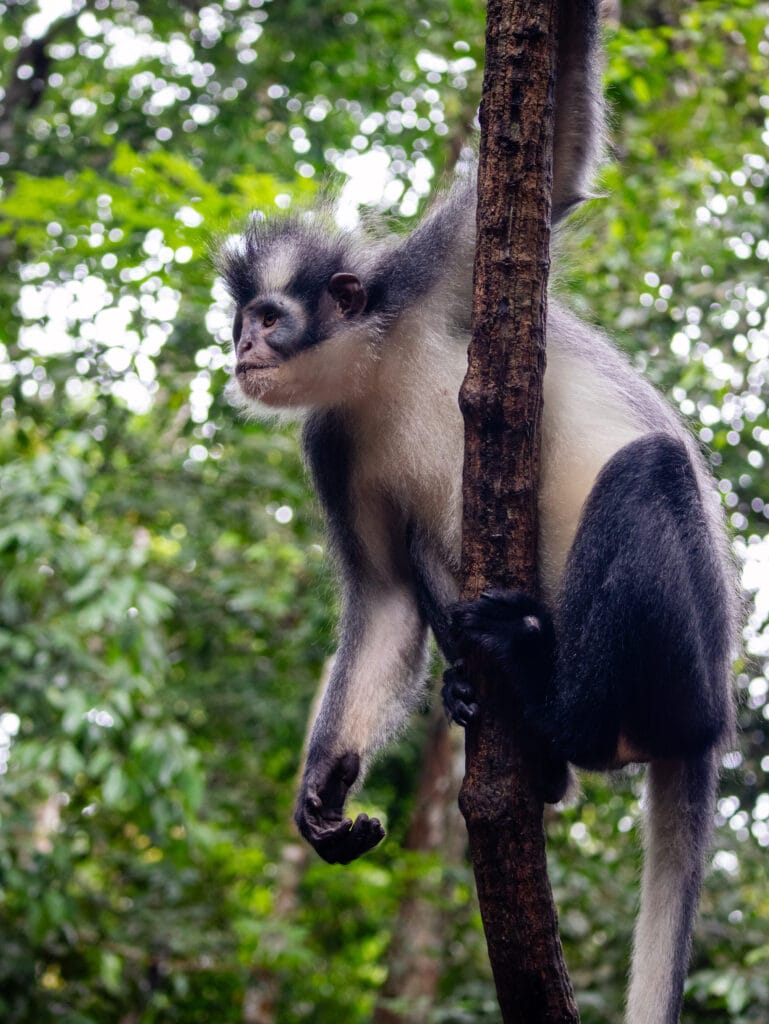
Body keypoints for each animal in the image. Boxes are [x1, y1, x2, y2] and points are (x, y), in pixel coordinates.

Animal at [217, 4, 741, 1019]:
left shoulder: (434, 279)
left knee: (651, 471)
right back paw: (513, 731)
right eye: (240, 326)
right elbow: (384, 600)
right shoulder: (331, 443)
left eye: (267, 318)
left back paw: (549, 700)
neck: (377, 367)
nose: (239, 353)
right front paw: (324, 787)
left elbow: (559, 159)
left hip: (686, 660)